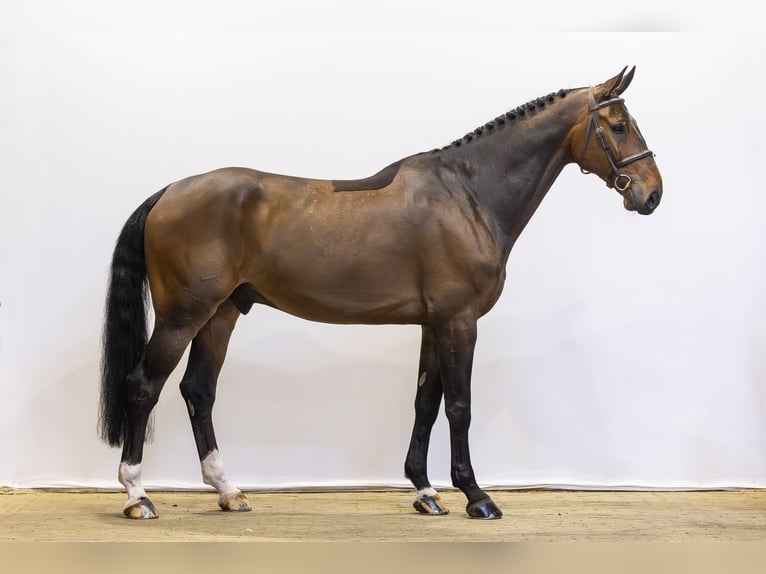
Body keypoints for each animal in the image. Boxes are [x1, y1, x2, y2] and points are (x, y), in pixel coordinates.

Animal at [99, 66, 662, 520]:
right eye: (617, 125)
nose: (651, 193)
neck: (468, 194)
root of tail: (170, 192)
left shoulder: (434, 323)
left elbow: (426, 403)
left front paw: (426, 492)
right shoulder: (459, 321)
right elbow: (460, 405)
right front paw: (476, 496)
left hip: (220, 315)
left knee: (199, 391)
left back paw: (228, 491)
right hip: (183, 315)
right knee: (143, 387)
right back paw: (137, 496)